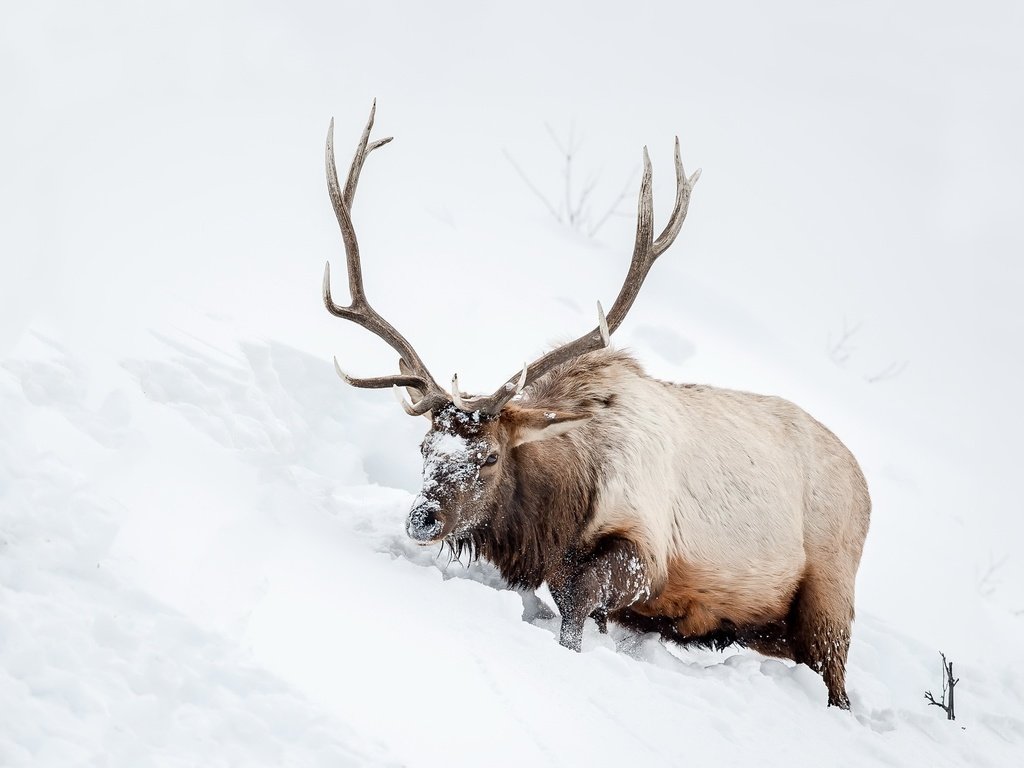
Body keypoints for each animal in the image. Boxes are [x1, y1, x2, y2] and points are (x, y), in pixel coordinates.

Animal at [321, 102, 872, 708]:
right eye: (425, 446)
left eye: (490, 455)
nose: (424, 517)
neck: (558, 511)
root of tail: (863, 479)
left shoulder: (645, 551)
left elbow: (576, 607)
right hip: (772, 627)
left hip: (830, 595)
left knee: (837, 680)